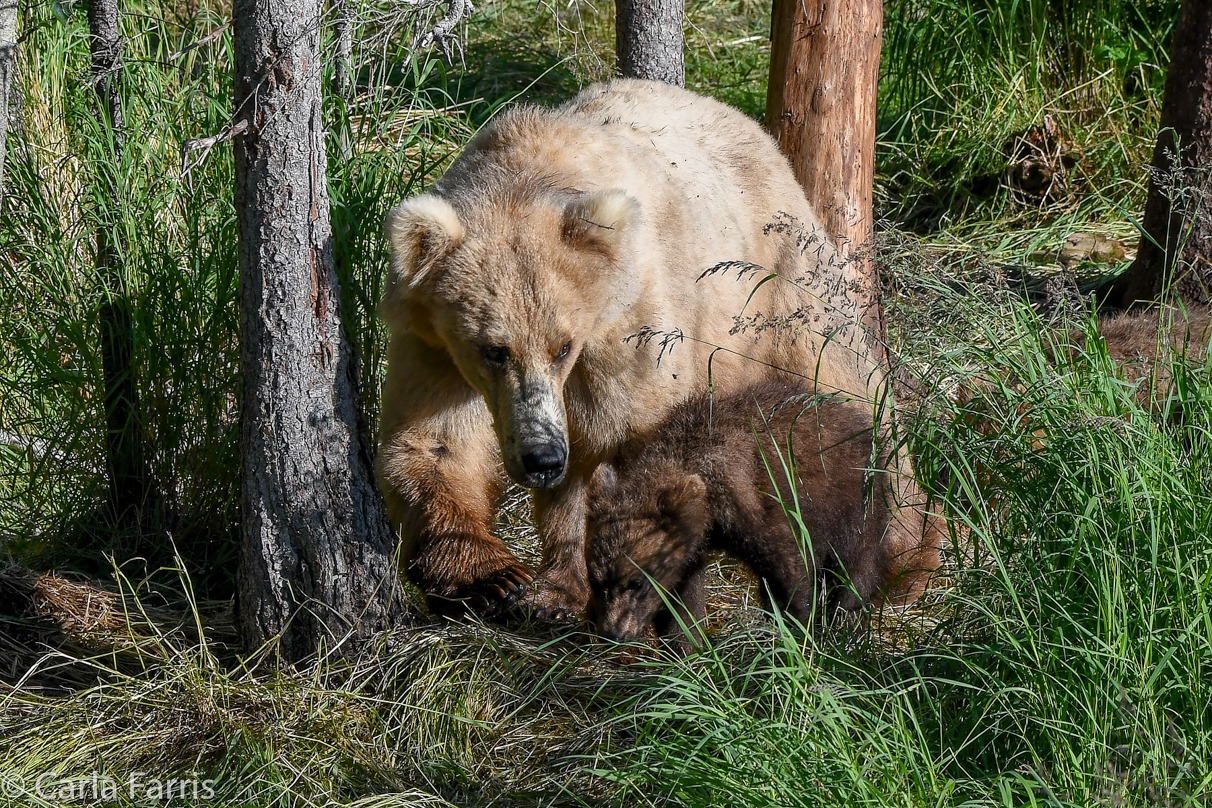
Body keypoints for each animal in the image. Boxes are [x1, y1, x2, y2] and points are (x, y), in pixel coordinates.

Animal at [378, 78, 935, 615]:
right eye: (494, 350)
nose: (542, 457)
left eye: (562, 346)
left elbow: (626, 448)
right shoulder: (433, 344)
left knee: (841, 377)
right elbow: (436, 443)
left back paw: (908, 552)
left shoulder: (630, 329)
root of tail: (752, 126)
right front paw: (499, 579)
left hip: (773, 280)